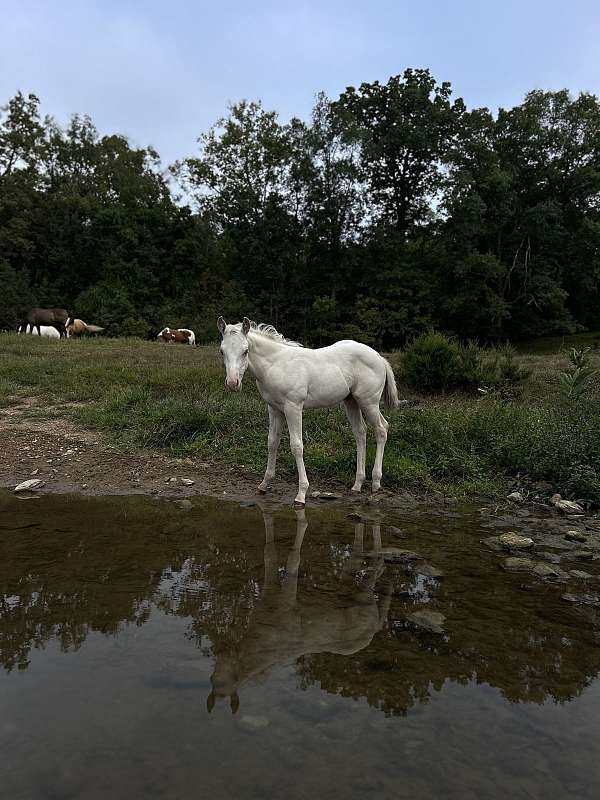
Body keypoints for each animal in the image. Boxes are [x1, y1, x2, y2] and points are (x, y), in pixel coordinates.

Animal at [207, 507, 391, 714]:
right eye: (212, 678)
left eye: (232, 677)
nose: (220, 650)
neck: (264, 641)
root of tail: (373, 630)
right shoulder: (269, 593)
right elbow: (269, 553)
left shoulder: (287, 602)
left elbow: (293, 560)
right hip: (348, 583)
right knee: (358, 555)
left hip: (363, 596)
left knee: (377, 566)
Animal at [217, 316, 400, 506]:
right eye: (222, 351)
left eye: (245, 351)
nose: (232, 383)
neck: (276, 365)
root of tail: (378, 356)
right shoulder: (274, 409)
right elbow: (272, 442)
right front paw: (264, 484)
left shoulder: (293, 407)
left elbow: (297, 446)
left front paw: (301, 493)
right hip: (351, 402)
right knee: (360, 433)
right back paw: (357, 483)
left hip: (369, 402)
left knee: (381, 429)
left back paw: (376, 482)